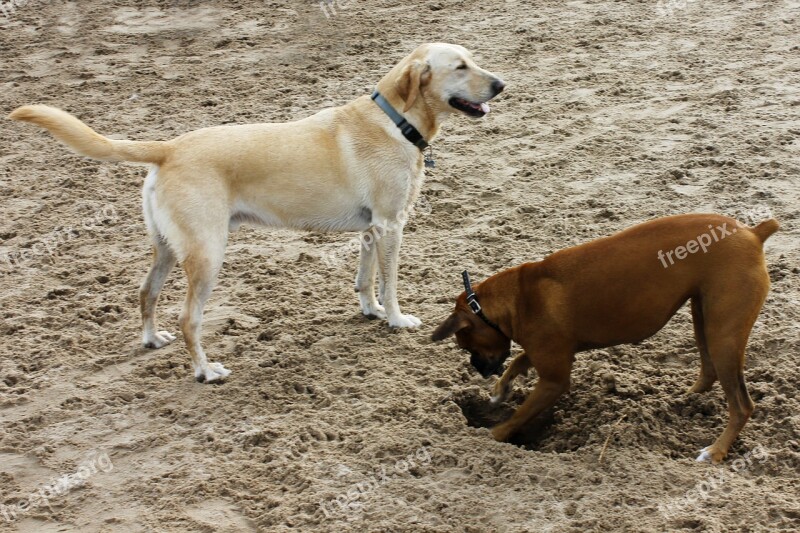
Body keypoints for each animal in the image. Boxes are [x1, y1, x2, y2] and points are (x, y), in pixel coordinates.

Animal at [434, 212, 780, 462]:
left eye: (465, 345)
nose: (477, 368)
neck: (519, 296)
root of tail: (752, 232)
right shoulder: (545, 352)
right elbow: (519, 359)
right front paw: (499, 390)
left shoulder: (553, 381)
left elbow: (517, 416)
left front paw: (491, 434)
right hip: (704, 317)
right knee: (708, 372)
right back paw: (685, 398)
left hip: (724, 334)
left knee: (742, 405)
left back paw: (716, 451)